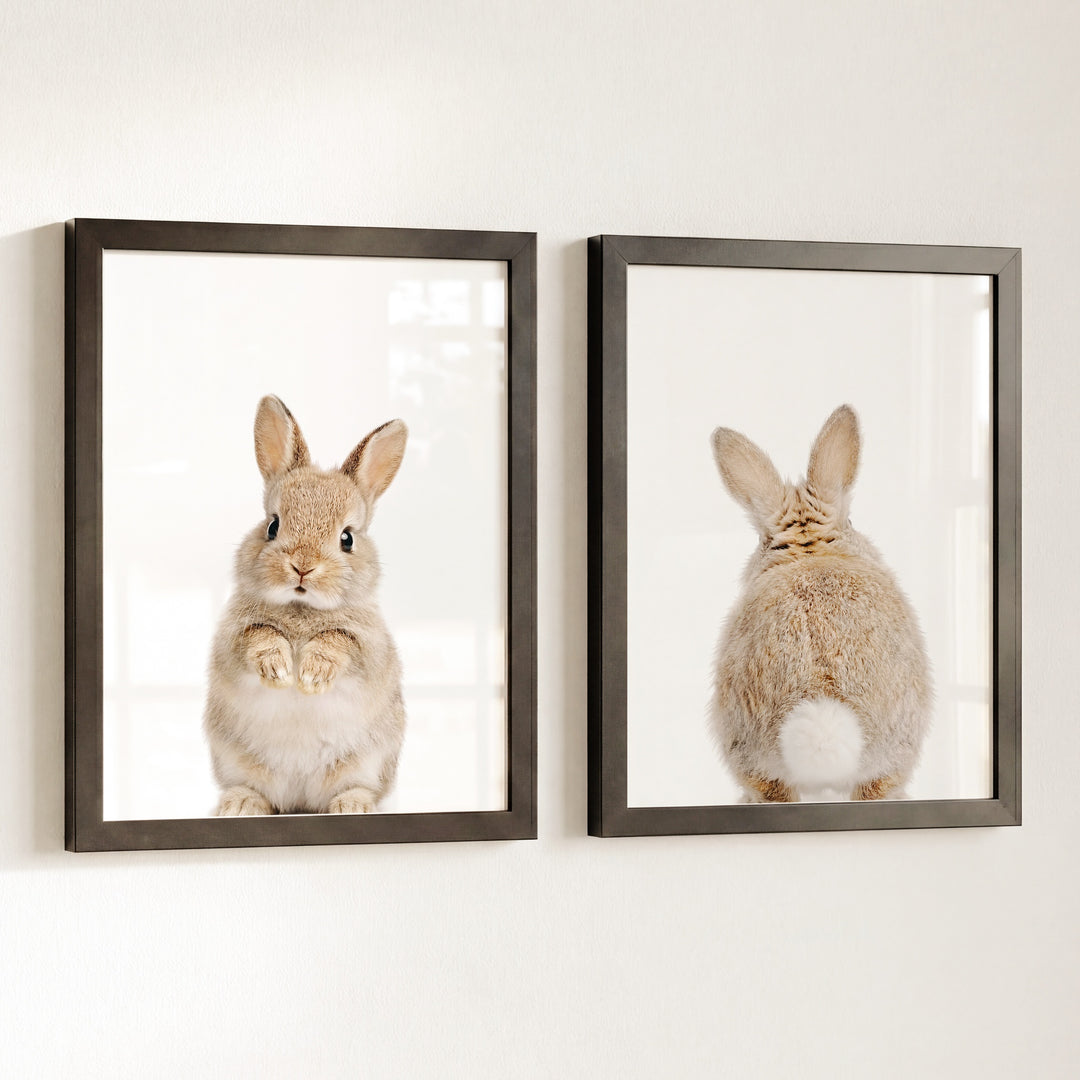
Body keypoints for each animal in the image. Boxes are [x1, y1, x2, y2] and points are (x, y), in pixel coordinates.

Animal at [203, 394, 408, 816]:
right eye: (272, 526)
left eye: (347, 538)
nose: (302, 566)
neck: (302, 609)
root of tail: (300, 799)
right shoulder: (233, 639)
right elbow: (259, 637)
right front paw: (280, 671)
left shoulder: (368, 647)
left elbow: (339, 642)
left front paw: (311, 677)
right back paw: (240, 804)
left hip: (368, 762)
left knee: (358, 788)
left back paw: (352, 806)